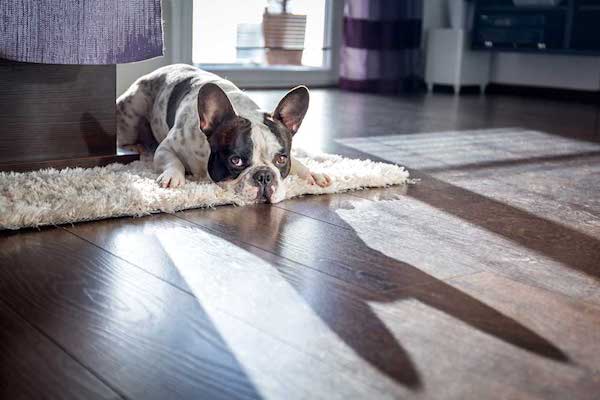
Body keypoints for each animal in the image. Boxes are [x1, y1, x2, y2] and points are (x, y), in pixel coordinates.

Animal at [116, 65, 332, 205]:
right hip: (133, 112)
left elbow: (298, 163)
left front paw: (313, 173)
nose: (264, 176)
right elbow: (173, 161)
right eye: (235, 161)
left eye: (281, 159)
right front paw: (173, 176)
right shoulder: (166, 148)